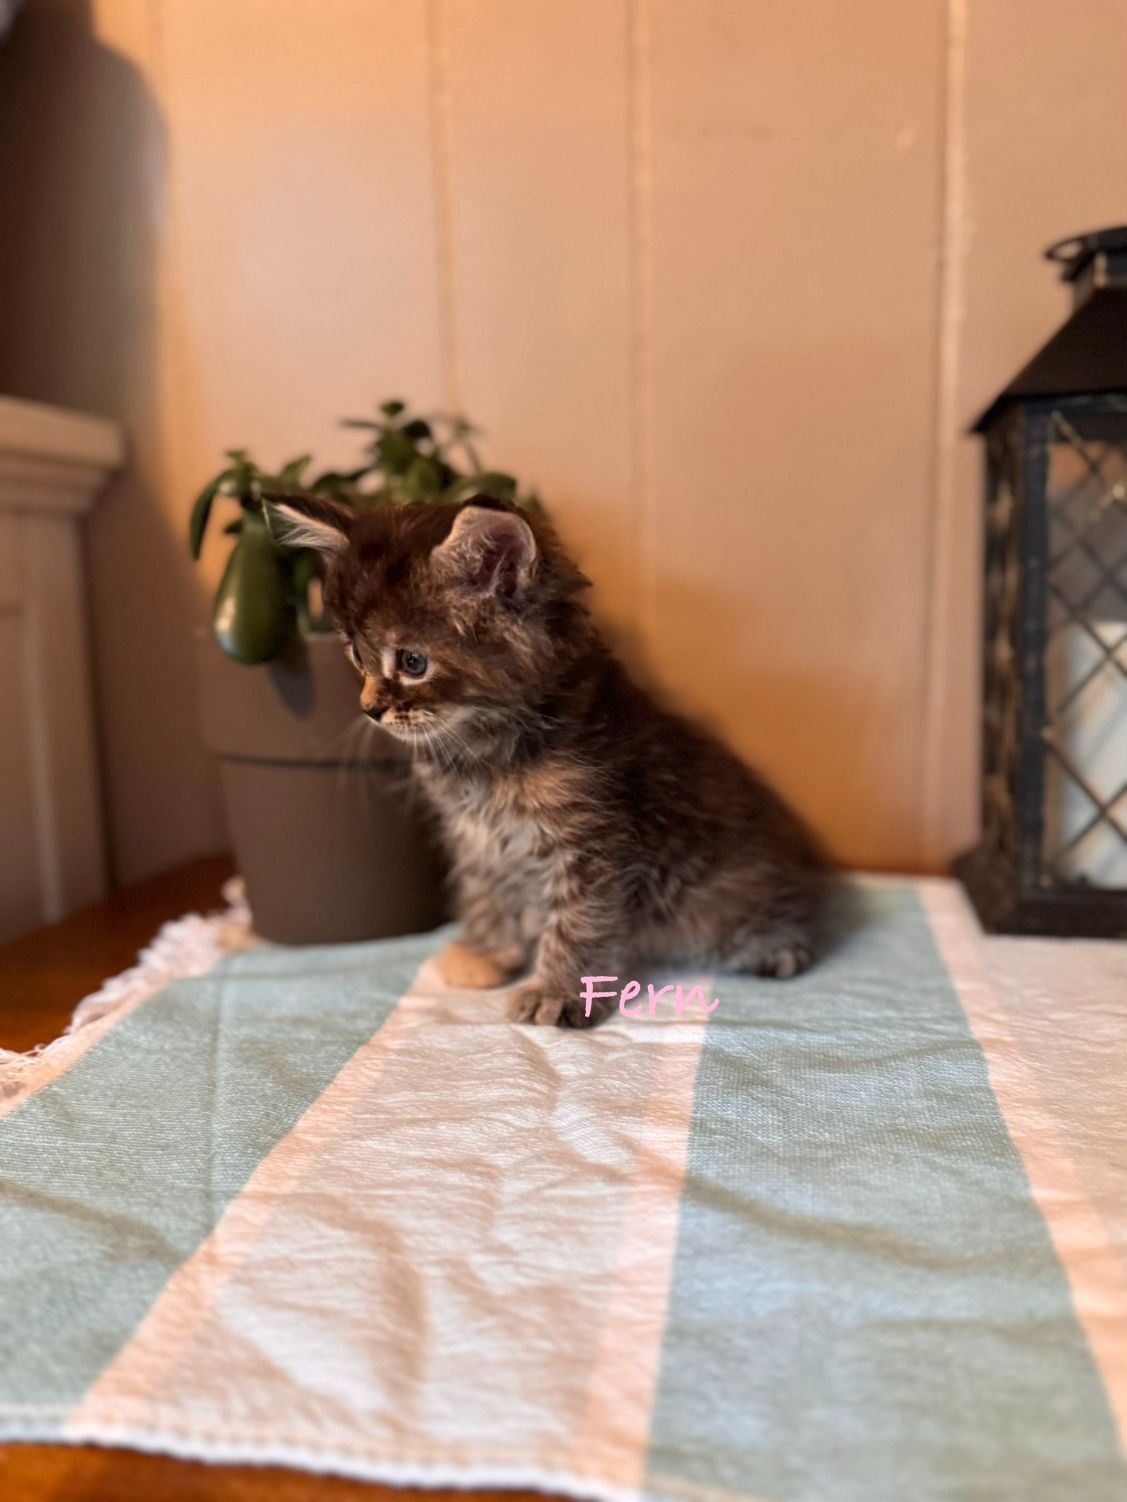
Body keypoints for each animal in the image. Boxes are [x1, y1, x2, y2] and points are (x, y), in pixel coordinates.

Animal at [269, 494, 832, 1027]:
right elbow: (486, 891)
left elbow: (579, 920)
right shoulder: (476, 836)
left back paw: (780, 949)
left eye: (412, 662)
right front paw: (488, 954)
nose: (370, 709)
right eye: (354, 655)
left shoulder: (596, 841)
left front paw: (558, 993)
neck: (483, 756)